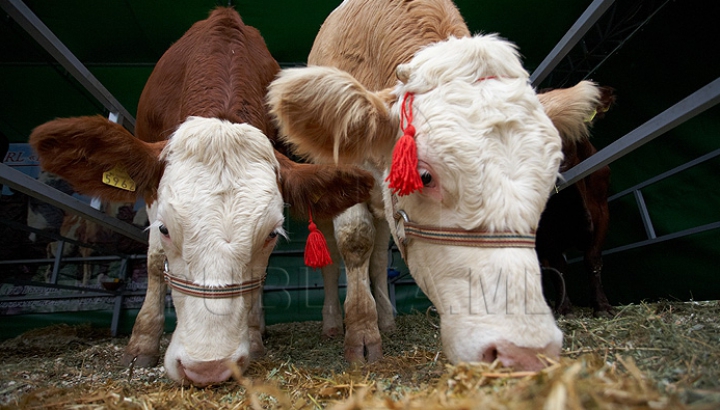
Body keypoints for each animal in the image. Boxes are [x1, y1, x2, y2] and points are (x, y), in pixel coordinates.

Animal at [28, 6, 372, 386]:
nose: (208, 367)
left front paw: (253, 337)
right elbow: (153, 262)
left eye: (270, 235)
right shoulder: (151, 192)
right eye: (164, 229)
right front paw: (141, 343)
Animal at [270, 0, 608, 370]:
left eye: (548, 182)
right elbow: (354, 240)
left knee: (378, 257)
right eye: (425, 176)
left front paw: (374, 325)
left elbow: (373, 255)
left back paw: (385, 318)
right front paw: (360, 336)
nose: (525, 353)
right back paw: (333, 322)